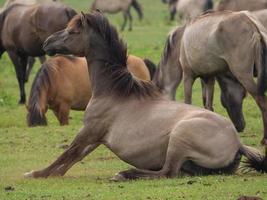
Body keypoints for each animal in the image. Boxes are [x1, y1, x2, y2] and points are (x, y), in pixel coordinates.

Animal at [24, 11, 266, 180]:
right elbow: (66, 164)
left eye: (72, 31)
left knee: (167, 172)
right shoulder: (93, 140)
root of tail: (237, 143)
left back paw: (125, 173)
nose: (46, 43)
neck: (114, 92)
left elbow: (64, 156)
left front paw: (33, 173)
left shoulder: (88, 133)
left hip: (179, 138)